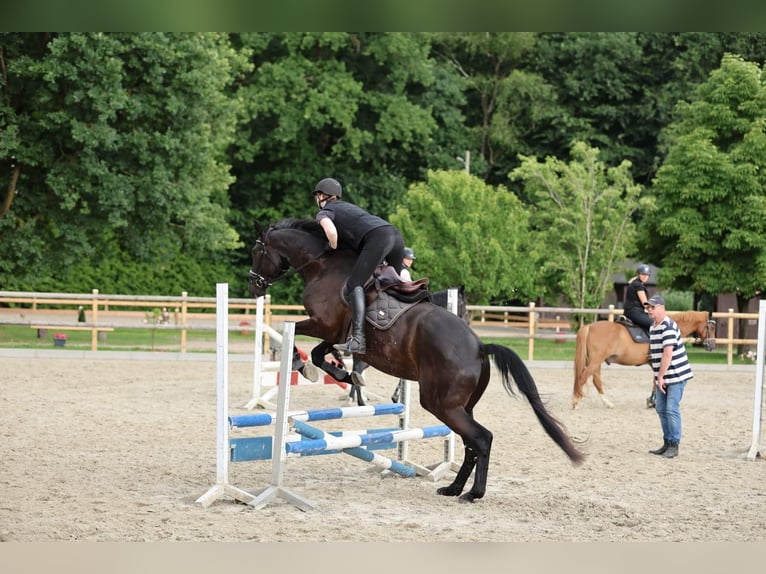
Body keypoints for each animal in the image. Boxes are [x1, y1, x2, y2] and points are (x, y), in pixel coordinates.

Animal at [248, 218, 585, 503]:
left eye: (256, 251)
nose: (254, 287)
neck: (322, 265)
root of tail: (479, 346)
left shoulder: (324, 324)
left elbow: (299, 336)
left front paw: (310, 366)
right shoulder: (333, 331)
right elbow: (322, 352)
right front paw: (340, 372)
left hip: (441, 403)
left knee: (482, 438)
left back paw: (473, 493)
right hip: (461, 405)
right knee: (470, 443)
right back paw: (453, 488)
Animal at [572, 311, 716, 409]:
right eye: (711, 328)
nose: (712, 345)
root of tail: (590, 326)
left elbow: (655, 381)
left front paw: (652, 400)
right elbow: (657, 381)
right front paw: (653, 401)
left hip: (594, 361)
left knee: (596, 380)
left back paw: (607, 403)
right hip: (596, 361)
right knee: (583, 377)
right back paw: (576, 402)